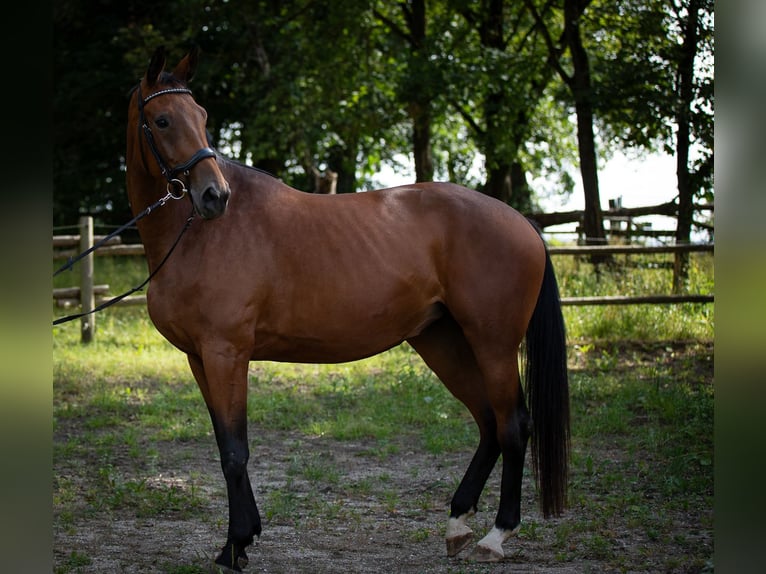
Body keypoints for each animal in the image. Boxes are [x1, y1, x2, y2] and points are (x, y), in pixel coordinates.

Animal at [126, 47, 568, 572]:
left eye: (202, 117)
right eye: (163, 119)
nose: (215, 195)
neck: (196, 235)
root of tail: (524, 223)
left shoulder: (225, 353)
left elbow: (235, 451)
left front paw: (234, 546)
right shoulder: (200, 358)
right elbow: (225, 445)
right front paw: (245, 537)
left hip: (493, 344)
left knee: (513, 425)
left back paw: (496, 535)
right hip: (442, 341)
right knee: (488, 421)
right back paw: (458, 523)